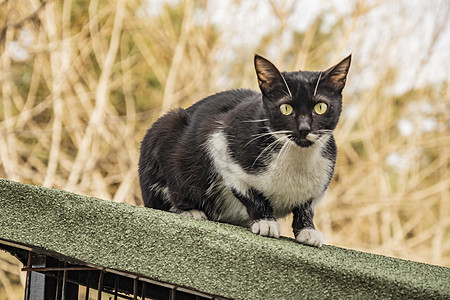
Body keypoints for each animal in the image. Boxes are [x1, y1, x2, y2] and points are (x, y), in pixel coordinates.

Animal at [139, 53, 350, 246]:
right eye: (286, 108)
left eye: (320, 107)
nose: (304, 128)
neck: (296, 157)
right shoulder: (218, 141)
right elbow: (249, 193)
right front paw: (265, 222)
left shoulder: (323, 177)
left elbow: (306, 207)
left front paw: (307, 230)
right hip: (166, 128)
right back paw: (190, 211)